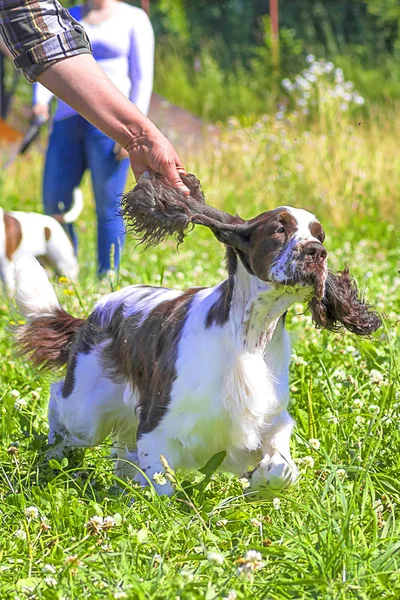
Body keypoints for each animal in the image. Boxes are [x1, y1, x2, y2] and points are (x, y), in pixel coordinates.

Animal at [13, 176, 382, 500]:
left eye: (321, 236)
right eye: (280, 229)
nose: (316, 253)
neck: (249, 337)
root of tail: (96, 311)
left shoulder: (268, 418)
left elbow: (282, 467)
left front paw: (260, 482)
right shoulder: (157, 422)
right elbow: (160, 485)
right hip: (86, 411)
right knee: (58, 401)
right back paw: (53, 451)